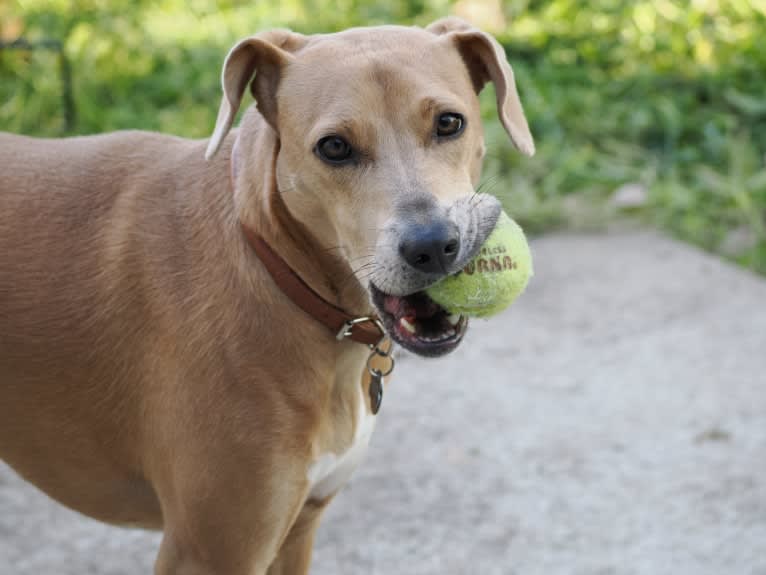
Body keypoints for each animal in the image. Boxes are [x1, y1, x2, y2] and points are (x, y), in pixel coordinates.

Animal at [0, 16, 536, 575]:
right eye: (334, 147)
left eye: (449, 123)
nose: (432, 246)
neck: (277, 268)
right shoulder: (210, 552)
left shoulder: (298, 529)